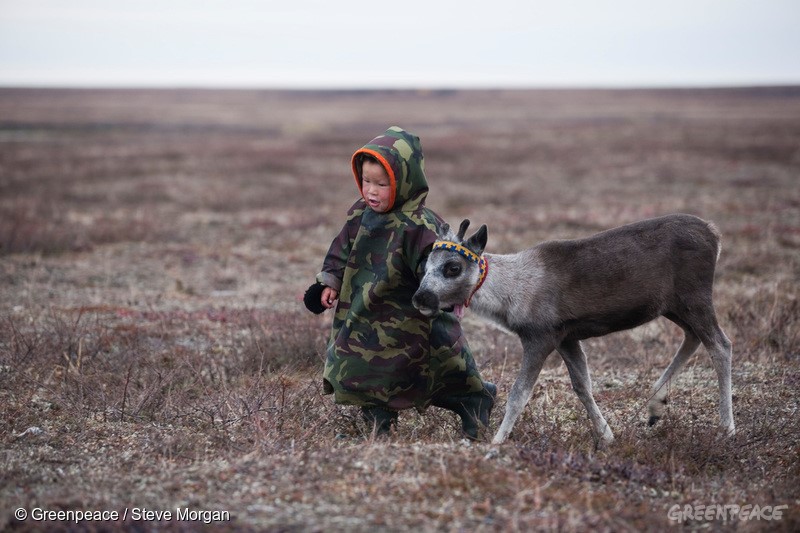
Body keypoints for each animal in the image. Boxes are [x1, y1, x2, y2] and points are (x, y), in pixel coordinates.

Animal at [416, 213, 736, 444]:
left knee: (721, 345)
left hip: (694, 296)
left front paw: (496, 443)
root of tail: (716, 235)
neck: (510, 296)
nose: (421, 297)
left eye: (453, 267)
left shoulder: (540, 336)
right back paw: (656, 404)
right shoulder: (567, 338)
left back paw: (727, 428)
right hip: (673, 306)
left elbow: (519, 394)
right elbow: (582, 385)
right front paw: (607, 435)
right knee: (693, 337)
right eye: (425, 265)